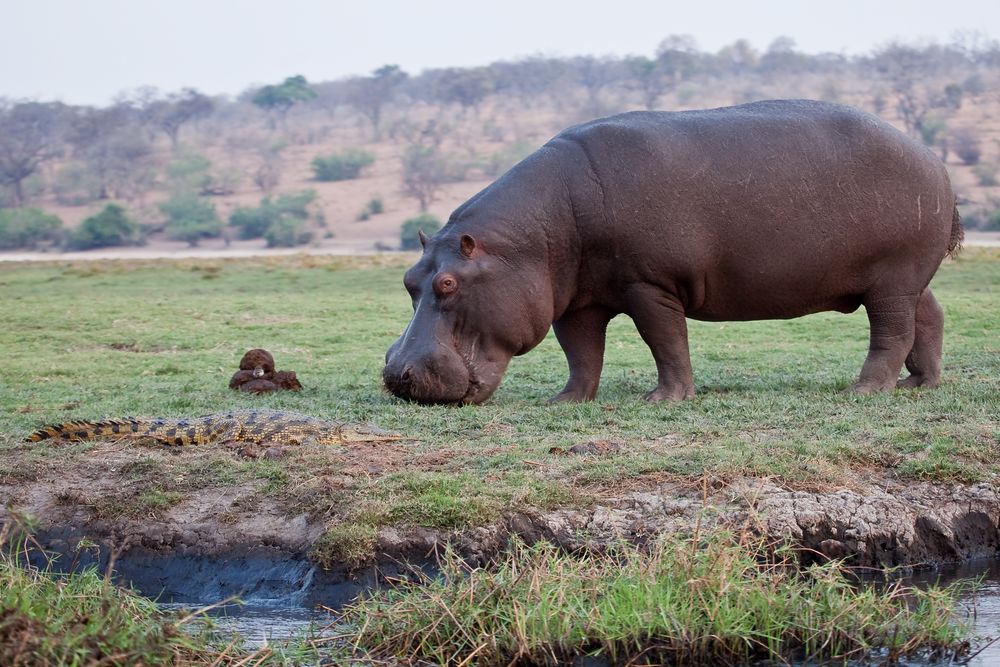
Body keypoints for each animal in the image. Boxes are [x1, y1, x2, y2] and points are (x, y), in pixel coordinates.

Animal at [382, 98, 960, 402]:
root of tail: (933, 157)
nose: (396, 375)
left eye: (448, 283)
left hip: (890, 279)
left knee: (891, 331)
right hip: (909, 278)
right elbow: (581, 352)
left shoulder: (650, 284)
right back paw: (920, 384)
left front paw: (663, 398)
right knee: (930, 315)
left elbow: (665, 341)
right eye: (408, 280)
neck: (530, 238)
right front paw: (567, 400)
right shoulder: (575, 299)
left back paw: (866, 390)